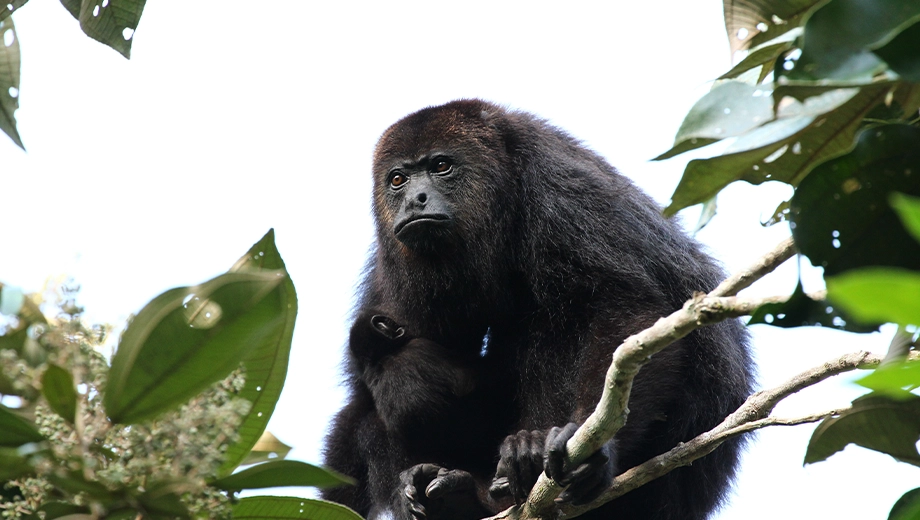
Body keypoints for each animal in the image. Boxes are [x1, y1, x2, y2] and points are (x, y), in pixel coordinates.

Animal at [324, 98, 756, 520]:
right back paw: (455, 498)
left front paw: (597, 452)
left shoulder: (559, 190)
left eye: (442, 166)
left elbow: (626, 308)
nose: (416, 200)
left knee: (552, 321)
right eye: (398, 179)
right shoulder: (393, 266)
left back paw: (522, 458)